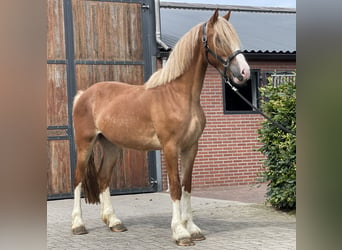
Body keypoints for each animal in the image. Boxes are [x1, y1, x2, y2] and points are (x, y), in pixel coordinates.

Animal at [71, 10, 248, 246]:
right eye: (219, 39)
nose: (244, 72)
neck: (178, 95)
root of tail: (84, 94)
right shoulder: (170, 148)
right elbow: (175, 187)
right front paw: (180, 232)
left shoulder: (191, 148)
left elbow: (187, 186)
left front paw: (193, 229)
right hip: (85, 145)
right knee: (78, 179)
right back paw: (78, 225)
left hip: (111, 147)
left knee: (103, 178)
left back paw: (114, 222)